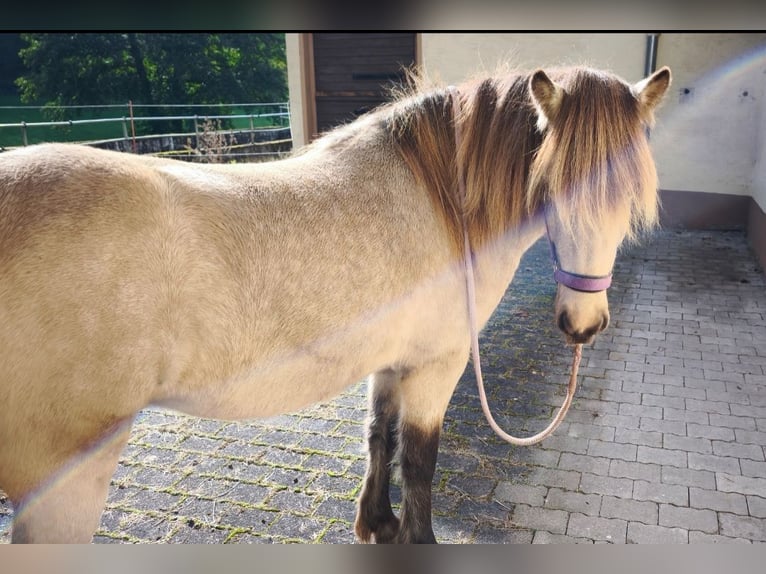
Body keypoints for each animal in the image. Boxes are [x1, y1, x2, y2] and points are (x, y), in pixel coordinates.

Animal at [0, 64, 670, 543]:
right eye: (556, 184)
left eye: (629, 194)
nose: (583, 325)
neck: (439, 200)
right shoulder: (438, 366)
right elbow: (420, 461)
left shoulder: (391, 361)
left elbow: (380, 436)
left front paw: (377, 525)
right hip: (65, 480)